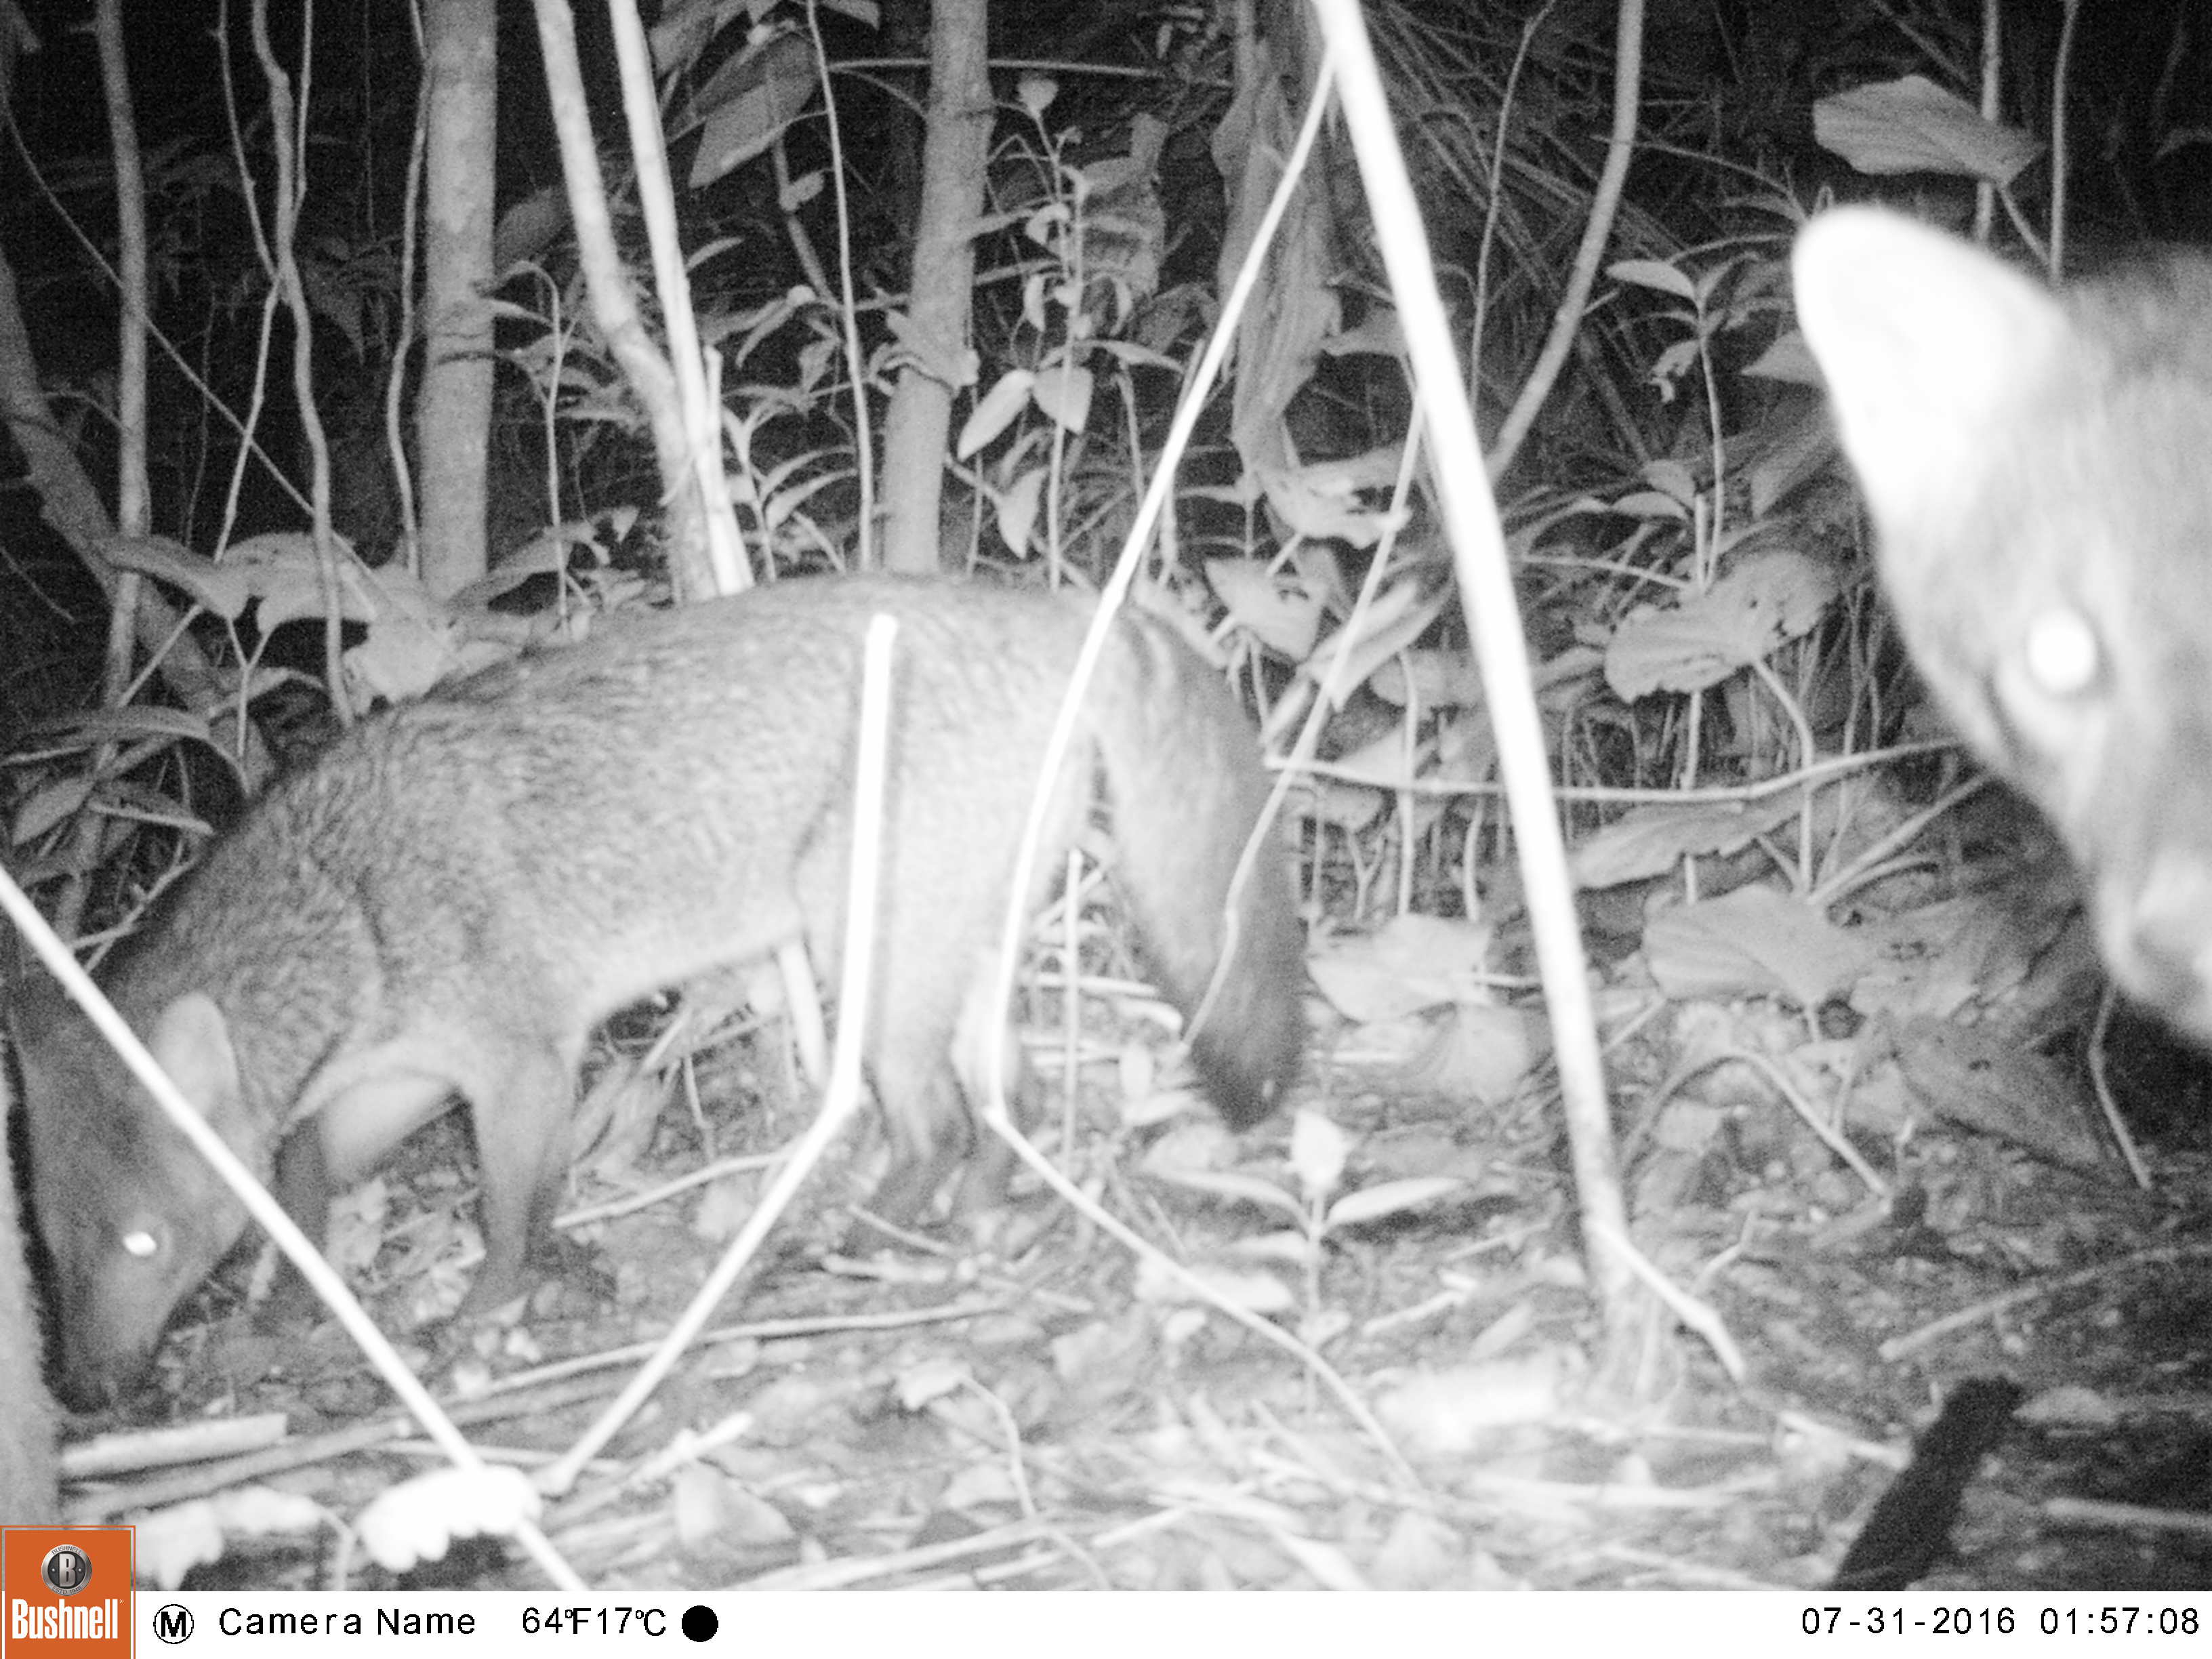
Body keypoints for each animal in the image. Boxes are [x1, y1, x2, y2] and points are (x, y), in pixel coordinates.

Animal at [8, 579, 1300, 1406]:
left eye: (143, 1240)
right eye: (51, 1251)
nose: (82, 1394)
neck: (349, 896)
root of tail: (1062, 610)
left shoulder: (521, 1066)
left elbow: (509, 1214)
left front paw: (481, 1318)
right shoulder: (402, 1081)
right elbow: (305, 1176)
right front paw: (290, 1299)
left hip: (866, 963)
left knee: (935, 1123)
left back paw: (850, 1241)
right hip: (951, 961)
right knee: (1010, 1105)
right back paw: (972, 1224)